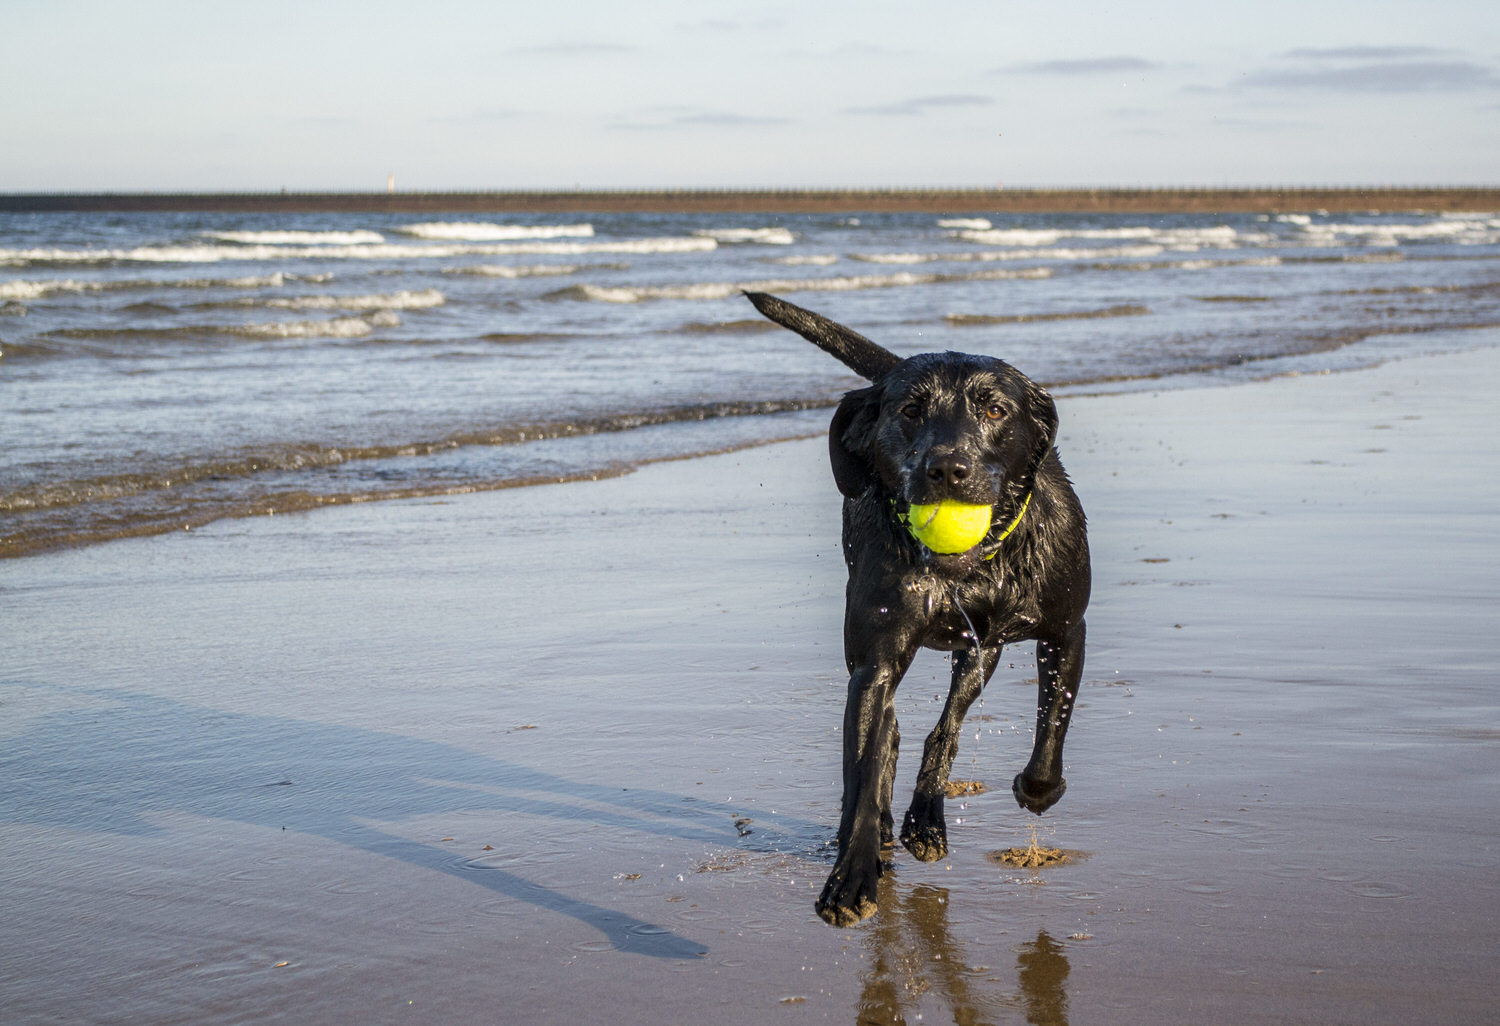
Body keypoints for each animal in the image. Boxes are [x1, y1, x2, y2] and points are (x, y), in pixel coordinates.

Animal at [747, 292, 1092, 924]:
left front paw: (1037, 790)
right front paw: (853, 872)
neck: (972, 570)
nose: (948, 468)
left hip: (982, 653)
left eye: (996, 409)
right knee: (892, 736)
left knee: (946, 727)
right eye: (909, 410)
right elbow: (864, 766)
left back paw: (926, 819)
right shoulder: (875, 663)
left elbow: (1052, 726)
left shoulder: (1065, 629)